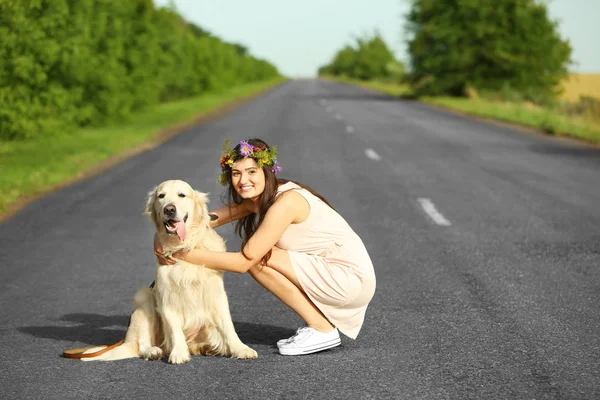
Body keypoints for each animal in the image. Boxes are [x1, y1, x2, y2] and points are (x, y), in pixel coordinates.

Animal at [82, 180, 255, 364]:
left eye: (182, 195)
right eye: (161, 196)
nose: (169, 209)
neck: (182, 246)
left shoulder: (216, 294)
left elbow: (228, 326)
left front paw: (241, 349)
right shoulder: (166, 298)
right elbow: (174, 328)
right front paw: (178, 353)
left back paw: (207, 348)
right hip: (144, 298)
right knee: (142, 344)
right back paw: (153, 351)